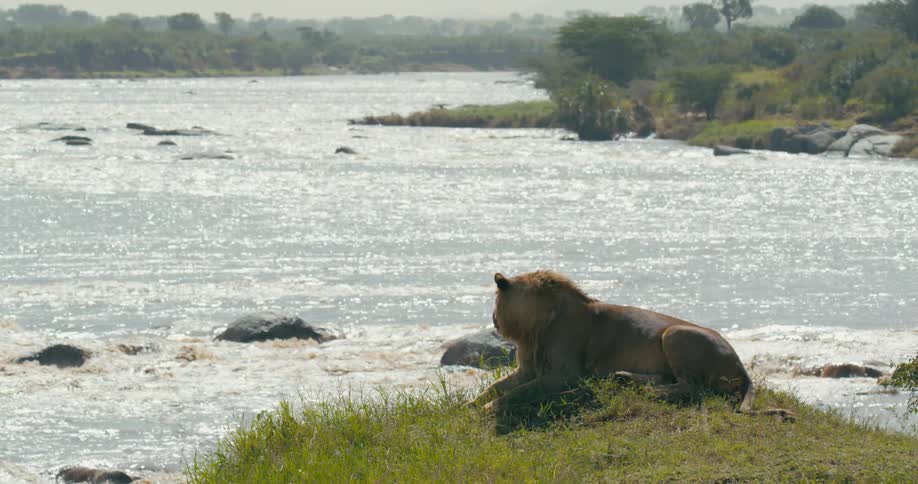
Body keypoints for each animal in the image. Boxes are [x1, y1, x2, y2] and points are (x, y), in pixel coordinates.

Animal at [469, 271, 794, 421]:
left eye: (495, 302)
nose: (493, 319)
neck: (533, 330)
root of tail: (742, 366)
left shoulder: (566, 375)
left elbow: (521, 392)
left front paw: (489, 408)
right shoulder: (527, 368)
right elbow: (496, 386)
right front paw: (471, 404)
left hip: (674, 333)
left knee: (692, 387)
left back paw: (649, 391)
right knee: (671, 380)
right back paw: (624, 378)